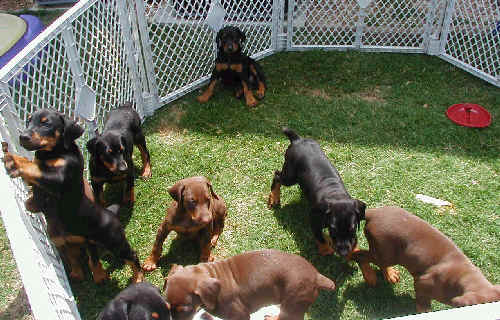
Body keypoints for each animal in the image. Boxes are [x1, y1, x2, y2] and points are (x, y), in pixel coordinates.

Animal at [3, 109, 145, 282]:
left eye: (46, 123)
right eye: (28, 121)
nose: (23, 137)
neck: (53, 154)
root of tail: (111, 213)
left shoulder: (62, 176)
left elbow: (37, 169)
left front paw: (15, 160)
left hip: (114, 241)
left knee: (131, 255)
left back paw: (138, 277)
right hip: (70, 241)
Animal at [268, 127, 366, 258]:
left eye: (353, 229)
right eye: (333, 230)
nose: (344, 253)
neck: (336, 194)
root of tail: (297, 139)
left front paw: (355, 248)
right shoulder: (314, 218)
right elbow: (320, 236)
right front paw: (325, 249)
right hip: (290, 176)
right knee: (277, 175)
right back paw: (274, 198)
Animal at [352, 206, 500, 314]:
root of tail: (373, 212)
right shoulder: (421, 283)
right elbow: (423, 304)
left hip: (385, 252)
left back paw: (389, 274)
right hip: (385, 253)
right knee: (359, 255)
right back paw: (369, 275)